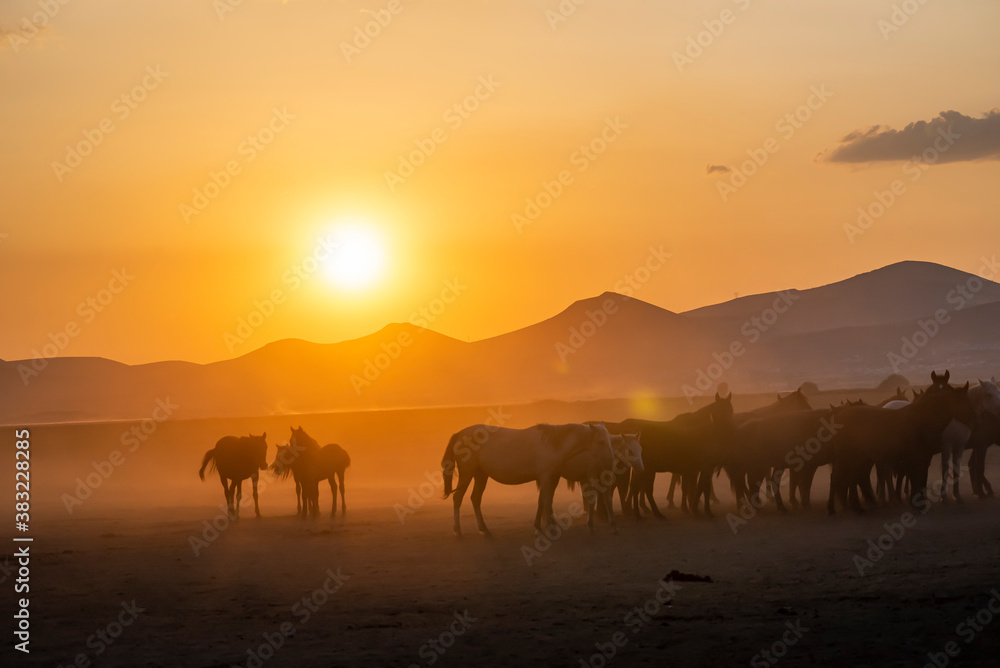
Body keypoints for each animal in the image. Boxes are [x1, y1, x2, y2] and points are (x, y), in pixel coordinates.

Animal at [442, 422, 612, 536]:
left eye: (609, 440)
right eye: (601, 441)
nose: (610, 461)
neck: (553, 445)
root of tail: (460, 434)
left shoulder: (552, 478)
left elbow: (542, 501)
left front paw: (539, 526)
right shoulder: (546, 478)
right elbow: (547, 501)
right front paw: (549, 527)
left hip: (481, 475)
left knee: (475, 499)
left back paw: (484, 529)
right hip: (467, 474)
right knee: (458, 498)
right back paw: (457, 531)